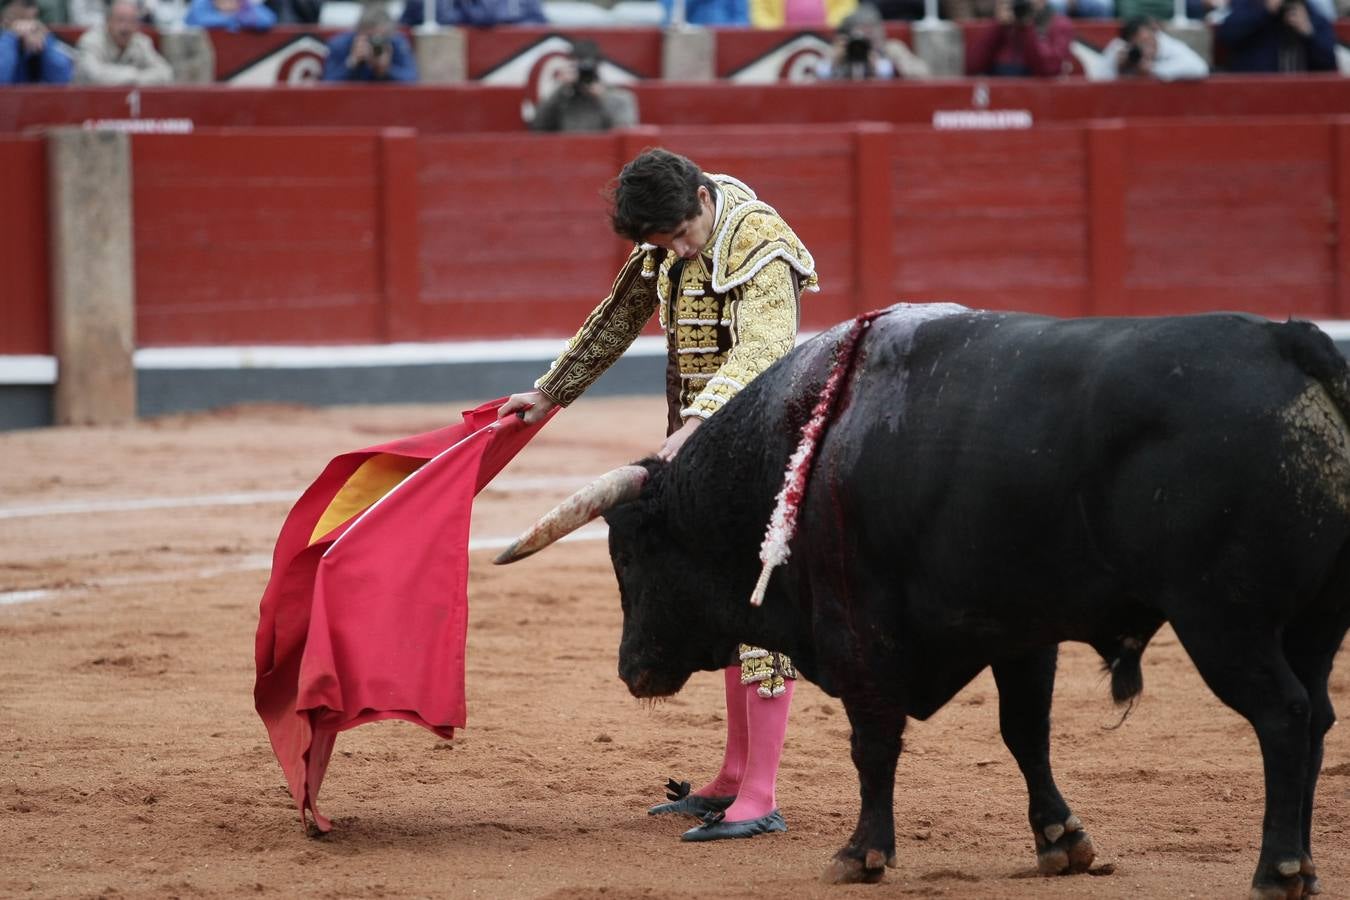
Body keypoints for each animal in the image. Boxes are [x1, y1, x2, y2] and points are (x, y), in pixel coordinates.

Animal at [499, 306, 1350, 895]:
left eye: (630, 552)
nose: (630, 669)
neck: (799, 447)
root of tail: (1293, 347)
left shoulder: (859, 628)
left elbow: (873, 740)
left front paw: (861, 853)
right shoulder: (1017, 629)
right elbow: (1025, 733)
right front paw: (1061, 841)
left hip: (1224, 620)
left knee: (1283, 717)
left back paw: (1277, 870)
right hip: (1314, 622)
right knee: (1315, 715)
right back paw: (1303, 866)